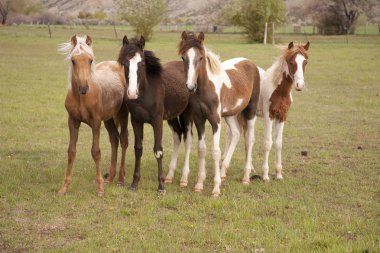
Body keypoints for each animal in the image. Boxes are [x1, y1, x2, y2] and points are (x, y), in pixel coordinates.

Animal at [58, 34, 128, 196]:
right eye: (73, 60)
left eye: (90, 60)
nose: (84, 88)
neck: (81, 98)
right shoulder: (73, 121)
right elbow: (71, 151)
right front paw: (64, 187)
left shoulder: (96, 122)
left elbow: (96, 152)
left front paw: (100, 188)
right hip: (109, 119)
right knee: (114, 140)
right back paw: (110, 178)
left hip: (122, 115)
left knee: (124, 140)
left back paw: (121, 179)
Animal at [116, 35, 193, 193]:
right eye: (125, 63)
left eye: (142, 63)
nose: (132, 93)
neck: (146, 92)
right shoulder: (136, 121)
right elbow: (138, 149)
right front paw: (134, 183)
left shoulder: (157, 121)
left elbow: (158, 150)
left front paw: (161, 187)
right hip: (172, 117)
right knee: (178, 136)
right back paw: (169, 176)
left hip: (187, 115)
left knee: (188, 140)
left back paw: (183, 179)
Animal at [178, 30, 262, 196]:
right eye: (183, 57)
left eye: (201, 57)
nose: (190, 86)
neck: (205, 88)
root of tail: (250, 63)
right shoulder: (199, 119)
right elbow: (202, 149)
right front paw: (199, 184)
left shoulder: (215, 120)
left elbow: (216, 151)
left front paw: (216, 188)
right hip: (230, 115)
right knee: (236, 134)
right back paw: (223, 172)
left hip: (250, 111)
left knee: (249, 139)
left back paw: (245, 177)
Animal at [230, 41, 310, 180]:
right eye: (291, 62)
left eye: (305, 62)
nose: (300, 86)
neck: (279, 90)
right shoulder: (269, 117)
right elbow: (268, 143)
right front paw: (265, 175)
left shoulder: (282, 117)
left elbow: (278, 143)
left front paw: (278, 174)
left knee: (246, 137)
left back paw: (251, 168)